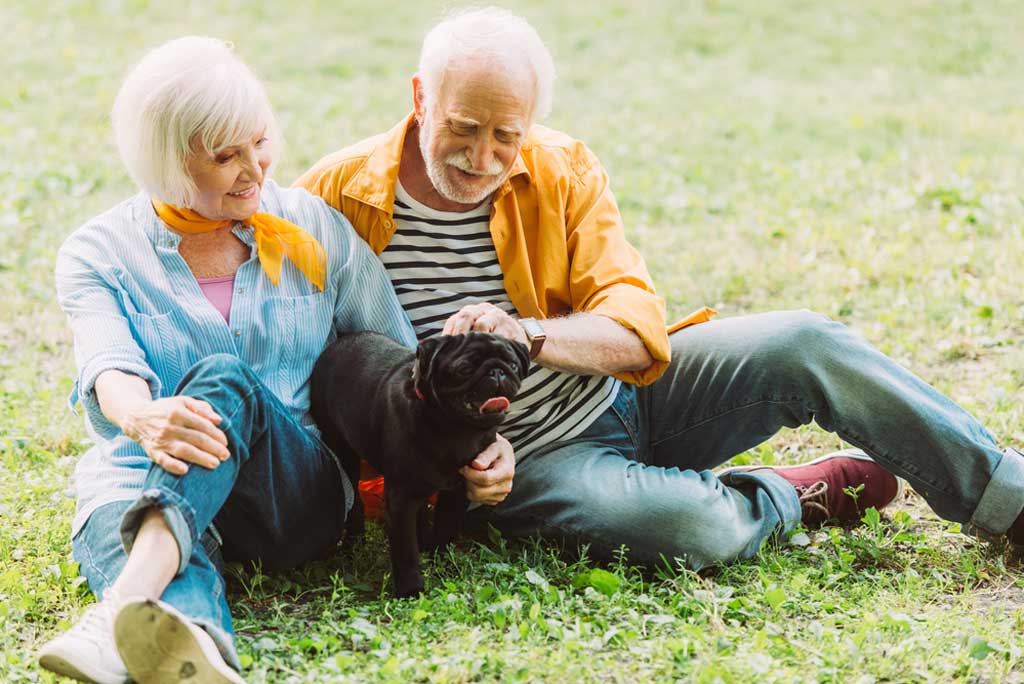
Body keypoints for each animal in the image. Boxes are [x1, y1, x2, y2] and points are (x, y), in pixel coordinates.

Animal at [309, 329, 528, 593]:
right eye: (464, 368)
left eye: (513, 366)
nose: (497, 372)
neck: (454, 429)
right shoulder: (400, 498)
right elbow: (405, 549)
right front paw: (411, 588)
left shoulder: (458, 489)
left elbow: (446, 525)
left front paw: (443, 558)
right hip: (343, 450)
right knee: (355, 502)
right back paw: (355, 542)